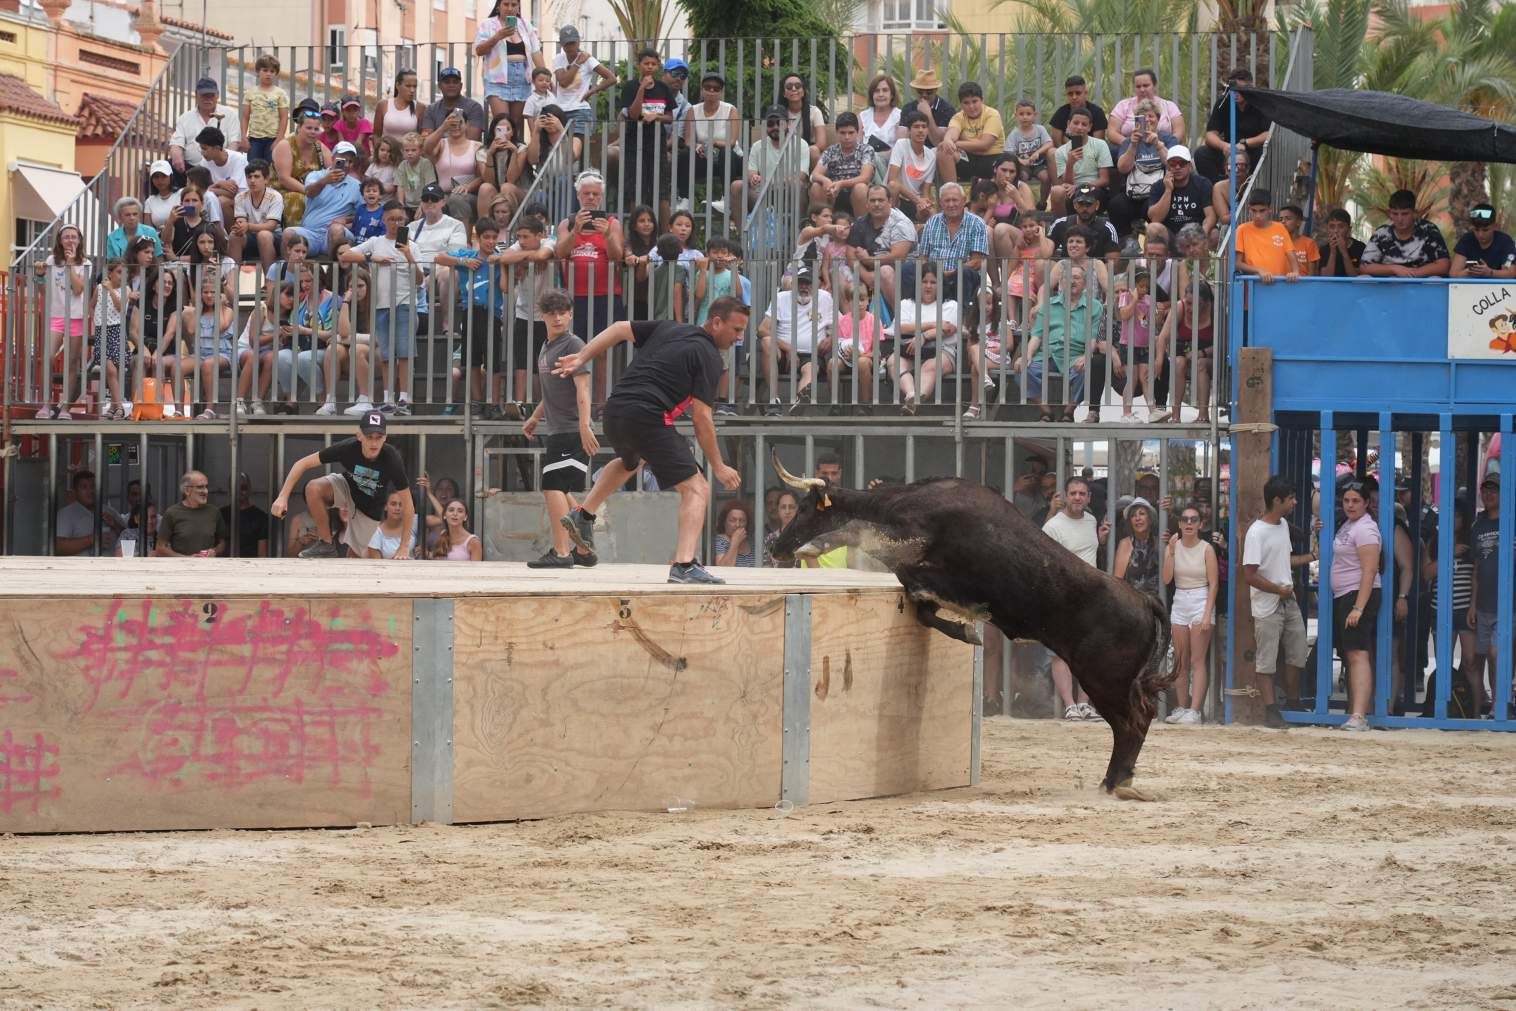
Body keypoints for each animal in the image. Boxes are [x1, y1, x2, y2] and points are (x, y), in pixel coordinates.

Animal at [770, 457, 1170, 800]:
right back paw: (1118, 781)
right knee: (1137, 720)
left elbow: (907, 579)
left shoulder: (927, 567)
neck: (900, 506)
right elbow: (923, 609)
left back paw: (1117, 783)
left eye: (804, 510)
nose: (777, 547)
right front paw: (967, 631)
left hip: (1103, 680)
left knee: (1132, 723)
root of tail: (1141, 599)